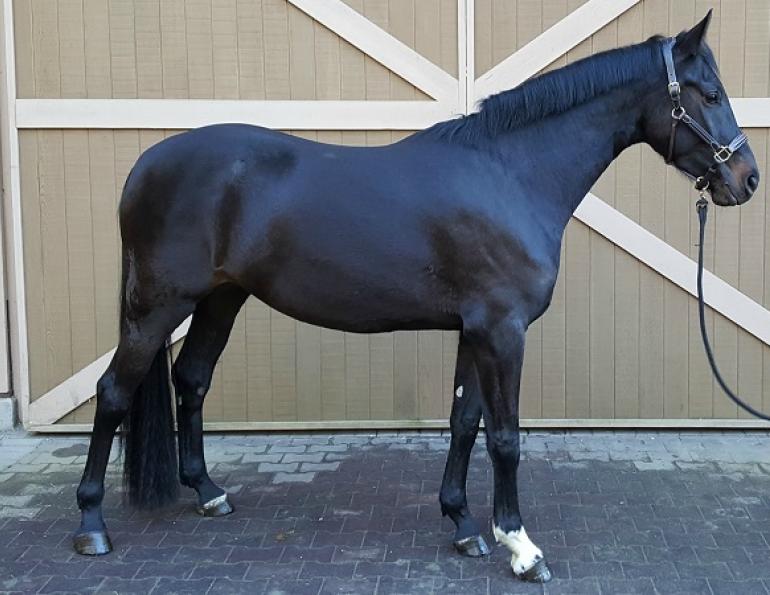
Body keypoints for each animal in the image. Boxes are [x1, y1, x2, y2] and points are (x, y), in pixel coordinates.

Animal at [72, 12, 759, 583]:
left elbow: (463, 422)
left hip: (220, 299)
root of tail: (146, 166)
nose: (746, 178)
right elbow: (505, 437)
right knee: (114, 393)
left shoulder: (475, 330)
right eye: (709, 94)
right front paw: (520, 547)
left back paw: (209, 493)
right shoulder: (503, 331)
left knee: (191, 380)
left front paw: (463, 526)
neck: (510, 174)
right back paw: (91, 525)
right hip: (157, 307)